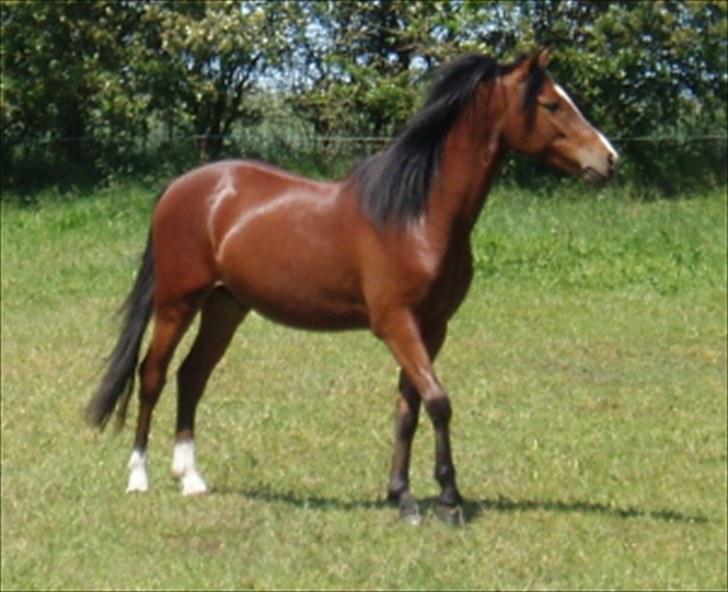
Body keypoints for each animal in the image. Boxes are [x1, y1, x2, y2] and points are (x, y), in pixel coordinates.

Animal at [87, 50, 618, 524]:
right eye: (551, 104)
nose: (609, 159)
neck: (418, 215)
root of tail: (181, 187)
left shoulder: (431, 328)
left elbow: (408, 408)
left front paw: (402, 497)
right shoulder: (396, 323)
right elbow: (438, 403)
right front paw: (447, 500)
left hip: (225, 306)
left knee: (192, 377)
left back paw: (191, 478)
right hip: (177, 302)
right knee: (152, 375)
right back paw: (139, 477)